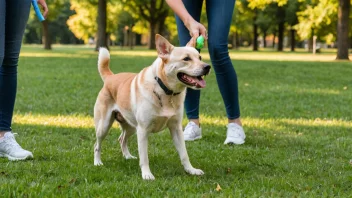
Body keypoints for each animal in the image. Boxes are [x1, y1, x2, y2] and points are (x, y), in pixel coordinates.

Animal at [92, 34, 210, 179]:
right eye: (186, 59)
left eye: (200, 57)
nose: (207, 67)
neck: (165, 90)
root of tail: (110, 77)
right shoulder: (143, 130)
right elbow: (144, 157)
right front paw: (147, 174)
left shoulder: (176, 128)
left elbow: (184, 154)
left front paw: (191, 170)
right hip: (104, 126)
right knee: (97, 144)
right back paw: (97, 162)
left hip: (131, 126)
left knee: (122, 139)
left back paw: (127, 156)